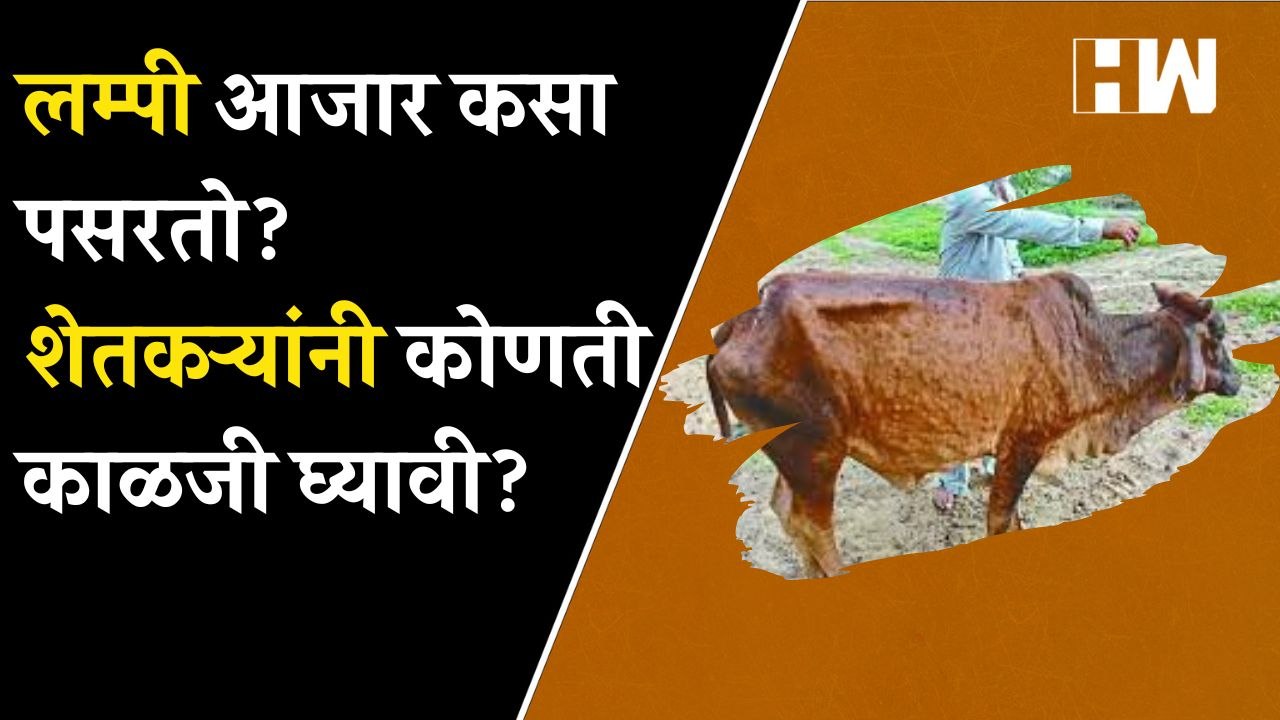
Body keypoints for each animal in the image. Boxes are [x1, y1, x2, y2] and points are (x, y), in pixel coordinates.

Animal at [705, 271, 1240, 577]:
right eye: (1217, 333)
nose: (1237, 380)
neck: (1094, 347)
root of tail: (738, 326)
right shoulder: (1023, 442)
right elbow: (1000, 518)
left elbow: (1012, 515)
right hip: (815, 451)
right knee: (812, 525)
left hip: (795, 456)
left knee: (785, 511)